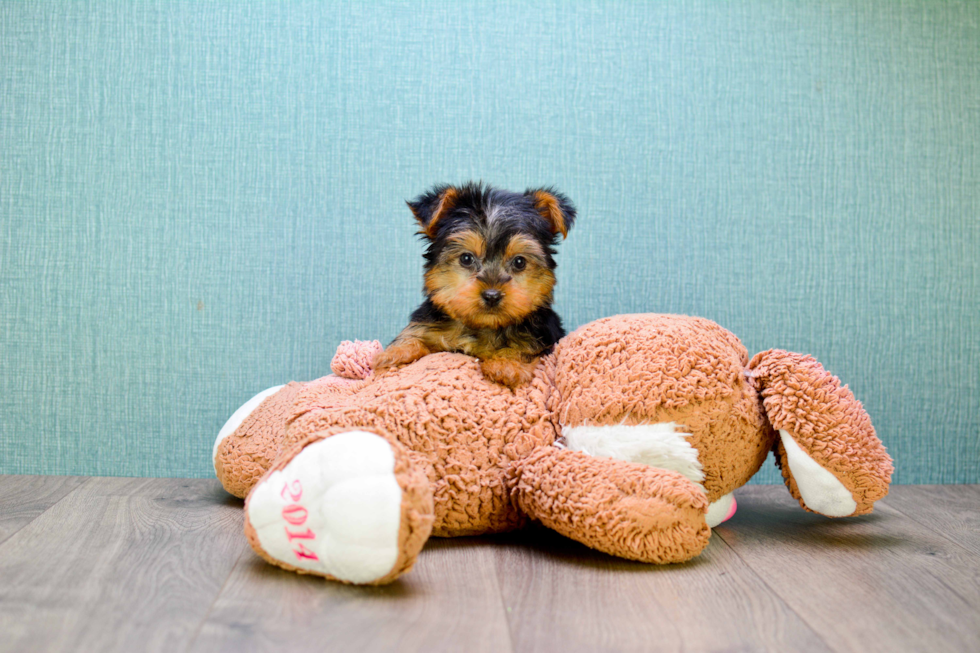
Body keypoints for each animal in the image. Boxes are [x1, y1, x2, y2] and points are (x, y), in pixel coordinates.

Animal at [374, 183, 576, 388]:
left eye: (519, 262)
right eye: (466, 258)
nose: (492, 295)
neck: (482, 326)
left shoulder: (543, 336)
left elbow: (525, 347)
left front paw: (506, 365)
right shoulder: (428, 325)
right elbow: (414, 334)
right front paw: (395, 353)